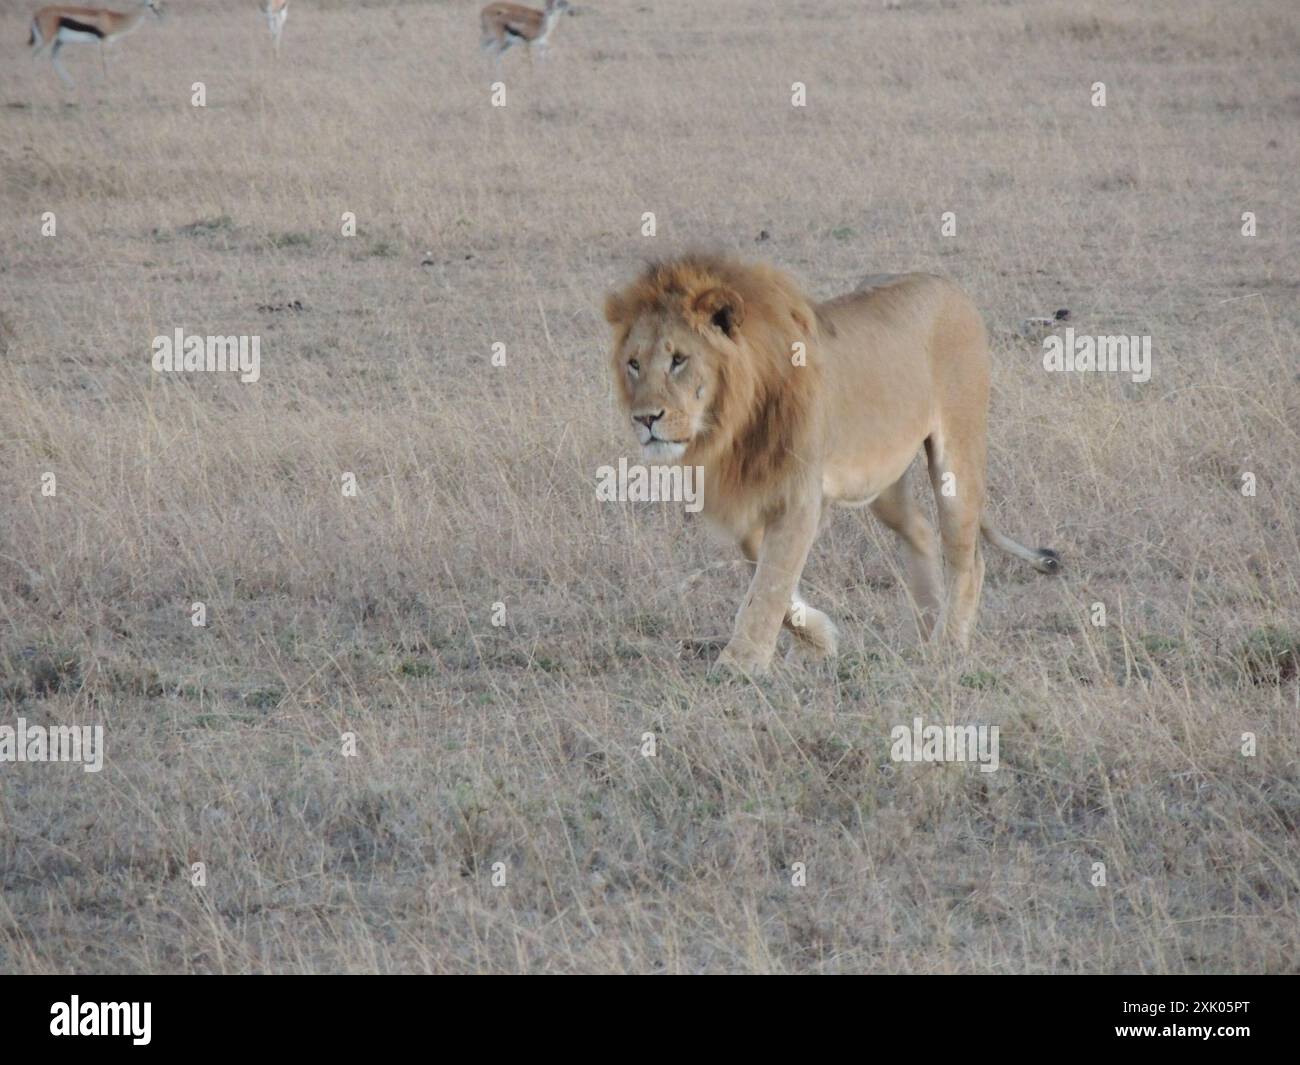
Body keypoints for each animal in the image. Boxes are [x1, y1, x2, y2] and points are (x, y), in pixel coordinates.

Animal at [603, 252, 1060, 676]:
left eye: (679, 359)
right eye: (634, 363)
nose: (644, 419)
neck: (730, 424)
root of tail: (946, 284)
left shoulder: (801, 497)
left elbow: (771, 580)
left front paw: (741, 662)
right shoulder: (753, 499)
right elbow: (765, 571)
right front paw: (818, 640)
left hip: (957, 455)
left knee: (968, 556)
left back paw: (947, 644)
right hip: (880, 480)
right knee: (921, 531)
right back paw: (928, 623)